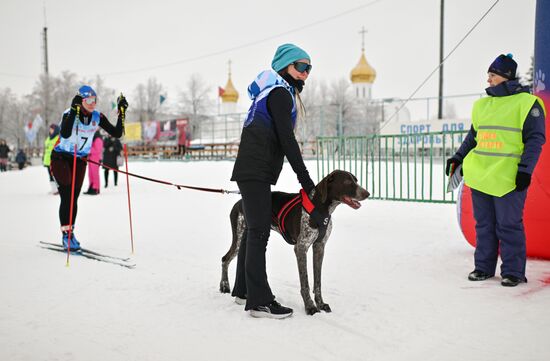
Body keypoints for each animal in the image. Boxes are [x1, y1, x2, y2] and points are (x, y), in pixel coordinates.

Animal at [220, 170, 370, 314]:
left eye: (356, 180)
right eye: (347, 181)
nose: (367, 193)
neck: (320, 208)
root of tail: (238, 203)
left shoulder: (319, 246)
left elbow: (317, 282)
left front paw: (320, 304)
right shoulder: (301, 248)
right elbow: (305, 282)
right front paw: (310, 307)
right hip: (239, 237)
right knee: (225, 259)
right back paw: (224, 286)